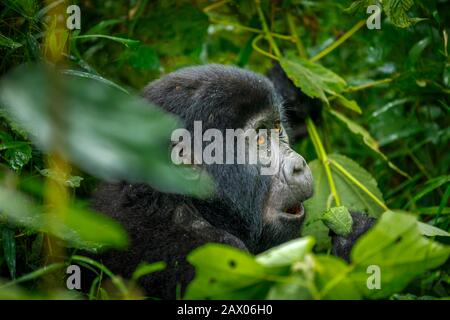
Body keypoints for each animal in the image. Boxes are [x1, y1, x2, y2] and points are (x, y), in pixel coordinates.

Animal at [89, 63, 370, 298]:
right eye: (259, 138)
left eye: (278, 129)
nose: (299, 167)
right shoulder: (201, 252)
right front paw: (357, 241)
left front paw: (293, 89)